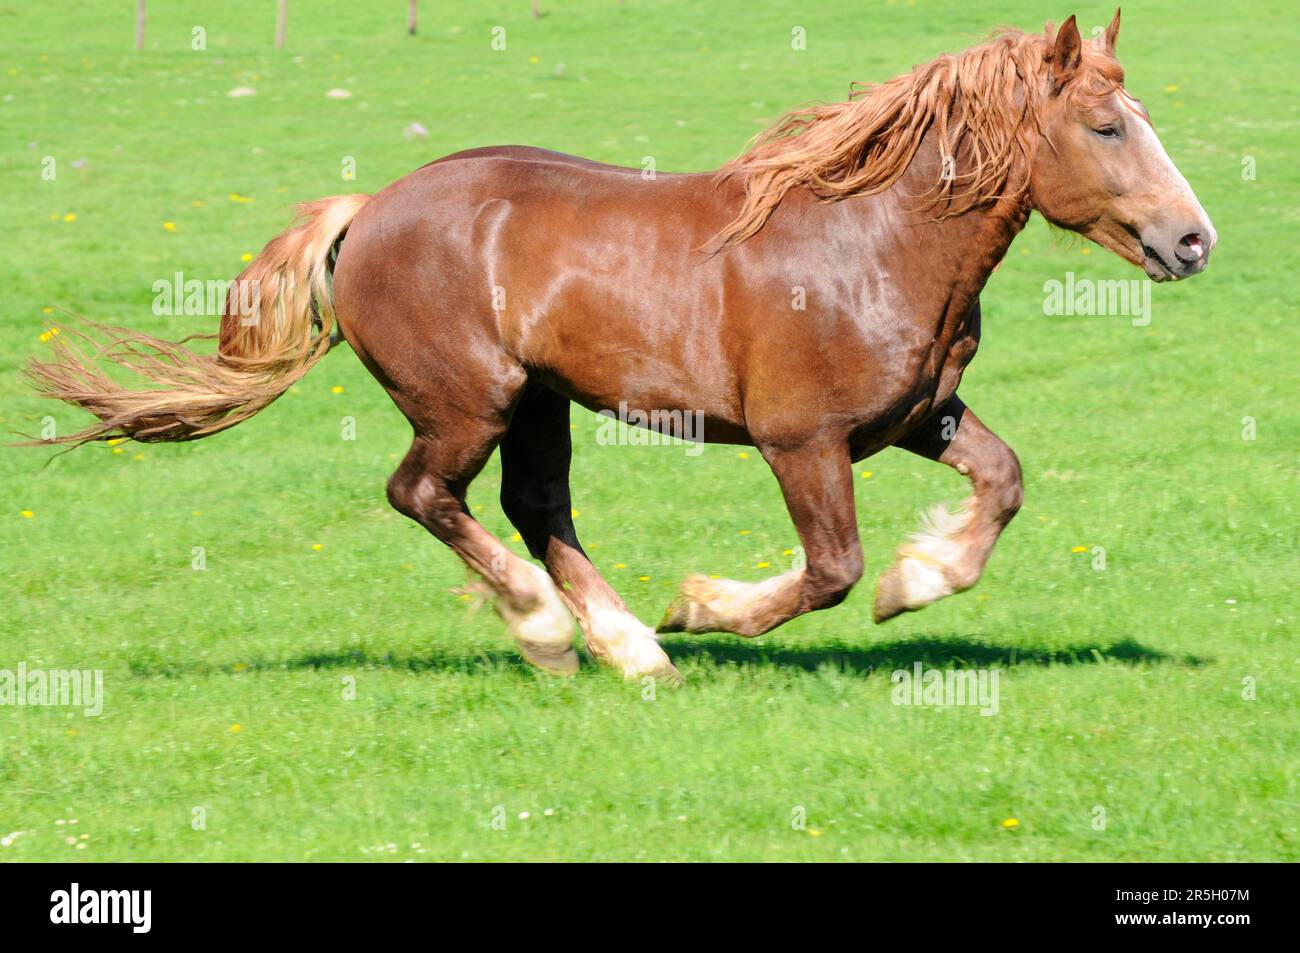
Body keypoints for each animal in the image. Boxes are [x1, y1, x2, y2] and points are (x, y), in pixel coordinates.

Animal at [25, 13, 1211, 686]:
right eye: (1107, 127)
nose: (1192, 240)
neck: (871, 243)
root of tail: (368, 211)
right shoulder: (801, 440)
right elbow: (830, 569)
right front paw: (709, 606)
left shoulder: (919, 417)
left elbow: (1002, 483)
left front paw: (918, 582)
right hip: (468, 402)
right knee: (426, 495)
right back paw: (559, 633)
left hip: (540, 401)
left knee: (533, 505)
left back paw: (629, 651)